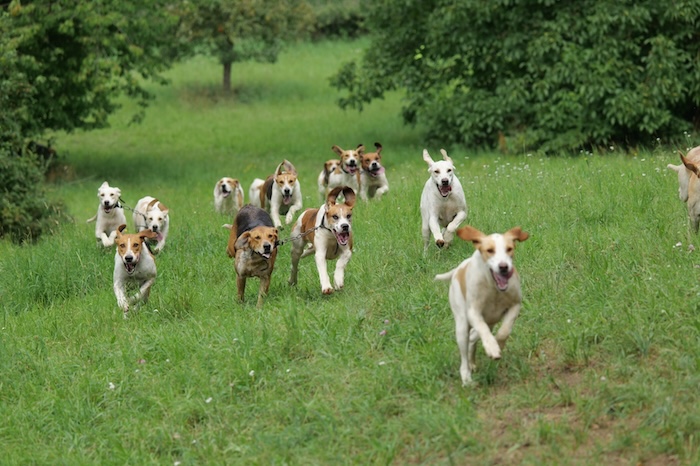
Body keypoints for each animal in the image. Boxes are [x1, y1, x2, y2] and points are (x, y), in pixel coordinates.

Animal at [435, 225, 529, 385]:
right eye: (490, 250)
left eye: (509, 249)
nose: (503, 267)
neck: (493, 288)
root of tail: (457, 270)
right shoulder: (474, 312)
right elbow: (483, 330)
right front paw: (492, 348)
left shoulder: (515, 305)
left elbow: (505, 330)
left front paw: (498, 344)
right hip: (462, 325)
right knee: (465, 354)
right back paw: (467, 377)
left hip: (490, 321)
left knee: (473, 338)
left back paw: (473, 361)